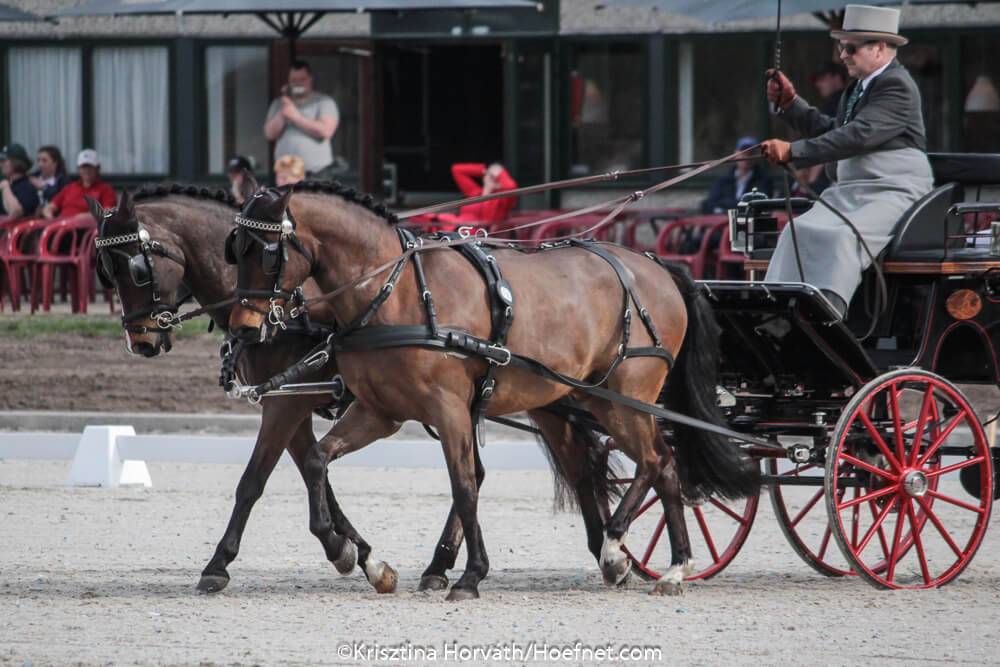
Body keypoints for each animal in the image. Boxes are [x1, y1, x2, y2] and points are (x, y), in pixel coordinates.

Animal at [88, 181, 622, 596]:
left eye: (137, 268)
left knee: (566, 465)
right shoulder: (291, 403)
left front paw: (229, 563)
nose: (142, 341)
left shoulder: (289, 403)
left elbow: (256, 481)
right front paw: (359, 553)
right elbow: (310, 471)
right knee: (534, 469)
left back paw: (605, 550)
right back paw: (449, 565)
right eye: (106, 271)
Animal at [228, 183, 760, 600]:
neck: (395, 292)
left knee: (655, 461)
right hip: (586, 398)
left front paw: (470, 575)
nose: (244, 329)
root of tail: (654, 266)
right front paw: (349, 553)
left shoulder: (447, 409)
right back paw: (662, 564)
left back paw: (629, 551)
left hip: (625, 397)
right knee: (656, 466)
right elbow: (317, 460)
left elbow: (464, 483)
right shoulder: (380, 411)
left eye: (267, 252)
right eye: (236, 248)